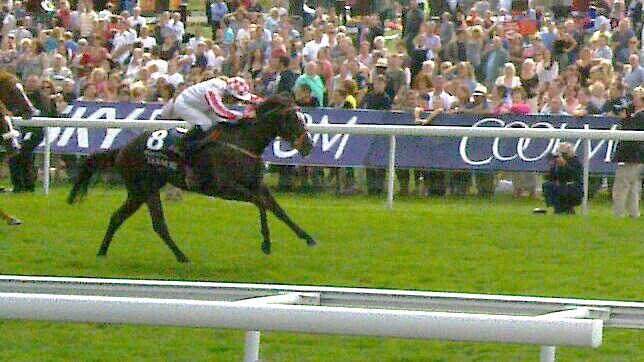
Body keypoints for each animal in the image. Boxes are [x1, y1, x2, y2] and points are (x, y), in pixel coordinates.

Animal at [68, 94, 316, 262]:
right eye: (292, 119)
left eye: (303, 117)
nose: (308, 146)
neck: (242, 142)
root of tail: (122, 149)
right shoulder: (224, 188)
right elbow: (261, 204)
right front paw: (266, 243)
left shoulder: (257, 184)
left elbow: (278, 210)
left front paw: (307, 237)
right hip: (143, 188)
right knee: (156, 224)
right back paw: (182, 257)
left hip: (141, 191)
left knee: (119, 217)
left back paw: (103, 252)